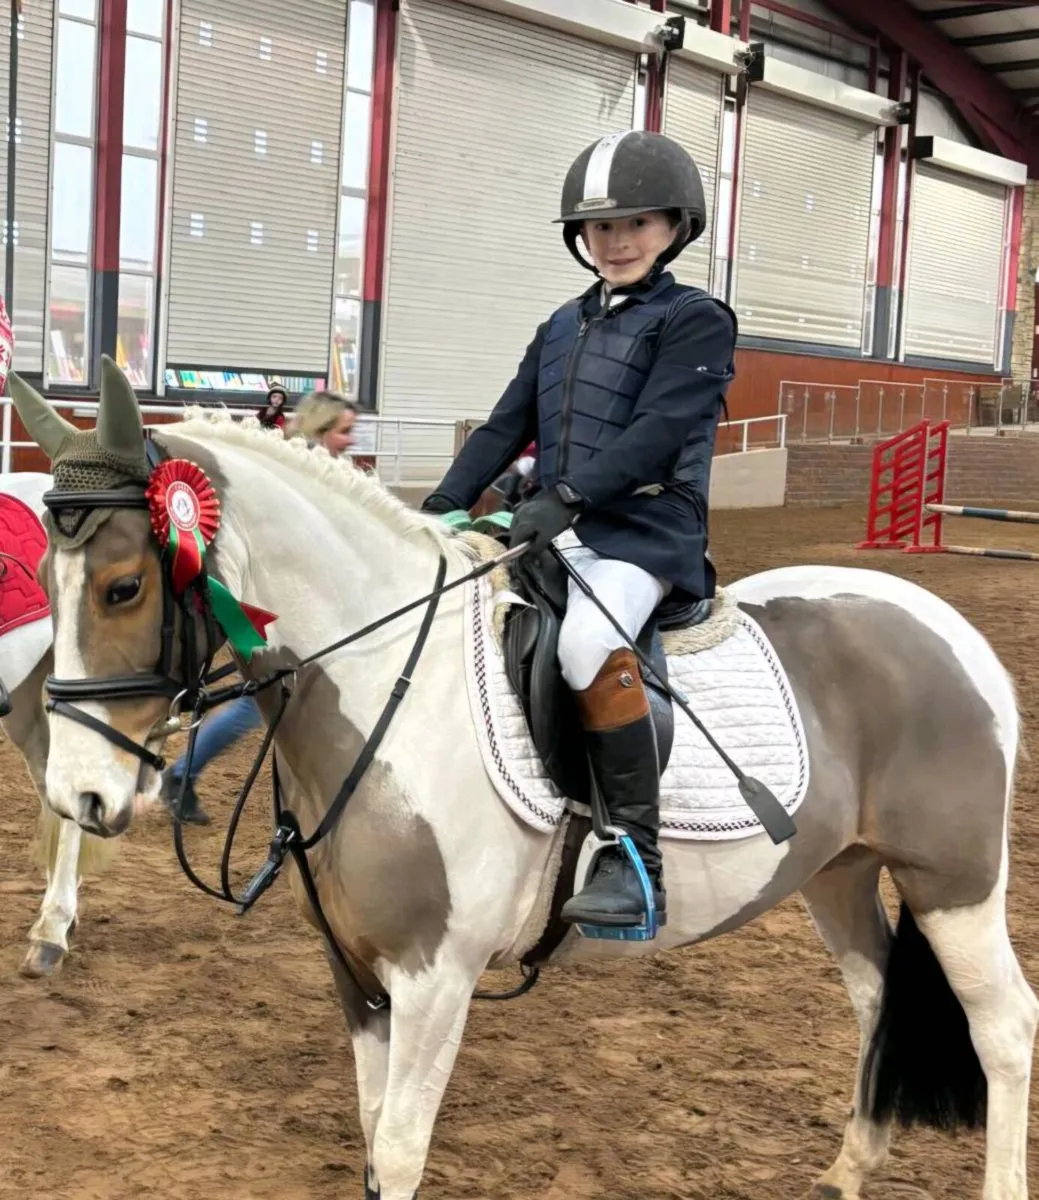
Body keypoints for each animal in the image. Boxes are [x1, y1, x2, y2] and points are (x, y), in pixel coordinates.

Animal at [8, 359, 1036, 1200]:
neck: (393, 686)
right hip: (838, 872)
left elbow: (400, 1153)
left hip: (952, 884)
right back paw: (845, 1171)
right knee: (877, 1001)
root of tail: (948, 628)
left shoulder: (435, 980)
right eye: (49, 582)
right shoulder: (357, 975)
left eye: (124, 588)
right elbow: (373, 1138)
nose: (80, 796)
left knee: (1002, 1028)